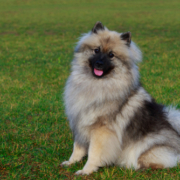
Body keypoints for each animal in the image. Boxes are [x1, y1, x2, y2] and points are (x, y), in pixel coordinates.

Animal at [61, 21, 180, 175]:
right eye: (96, 50)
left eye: (111, 55)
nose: (99, 64)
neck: (96, 83)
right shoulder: (80, 123)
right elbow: (77, 148)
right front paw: (71, 162)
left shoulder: (101, 131)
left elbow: (94, 153)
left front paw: (86, 170)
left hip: (147, 148)